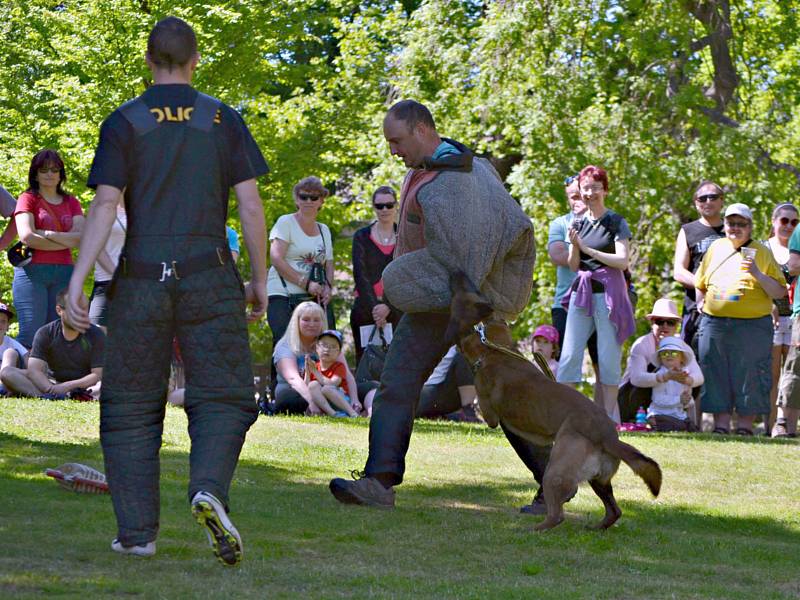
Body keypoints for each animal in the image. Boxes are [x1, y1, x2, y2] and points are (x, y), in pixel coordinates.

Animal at [444, 272, 664, 528]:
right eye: (474, 288)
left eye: (462, 291)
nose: (457, 272)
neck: (492, 350)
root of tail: (609, 436)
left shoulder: (490, 413)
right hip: (598, 480)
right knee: (614, 511)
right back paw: (595, 528)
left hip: (555, 470)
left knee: (557, 515)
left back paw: (532, 529)